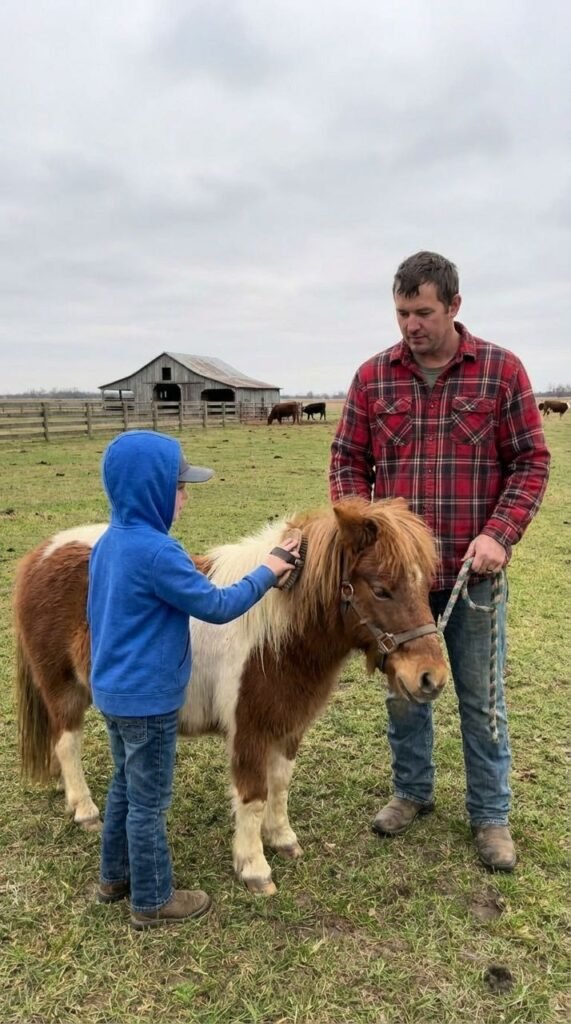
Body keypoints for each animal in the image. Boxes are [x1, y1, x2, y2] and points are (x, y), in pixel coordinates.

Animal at [14, 497, 447, 895]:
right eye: (381, 590)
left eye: (424, 584)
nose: (431, 678)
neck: (273, 637)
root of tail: (43, 553)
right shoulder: (248, 732)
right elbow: (253, 796)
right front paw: (254, 867)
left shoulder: (288, 727)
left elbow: (280, 785)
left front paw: (282, 838)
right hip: (63, 688)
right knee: (67, 743)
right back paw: (85, 810)